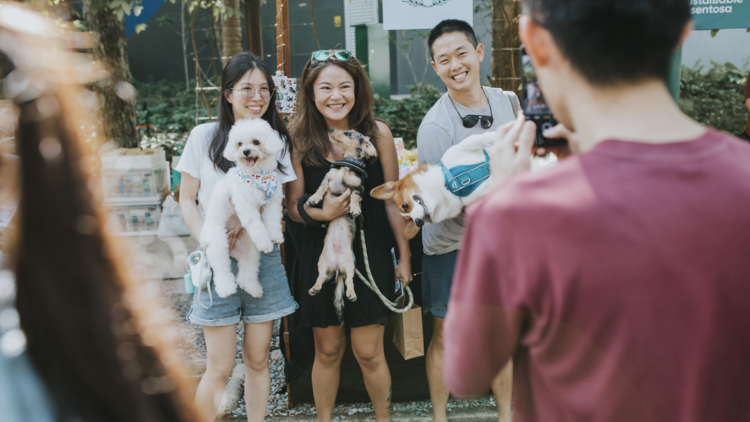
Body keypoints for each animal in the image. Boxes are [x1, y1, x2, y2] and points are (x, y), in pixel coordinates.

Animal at [200, 117, 284, 298]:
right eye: (239, 144)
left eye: (256, 141)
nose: (245, 151)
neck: (260, 175)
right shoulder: (246, 205)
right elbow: (257, 226)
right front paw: (266, 243)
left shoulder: (273, 203)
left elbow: (273, 221)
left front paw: (276, 236)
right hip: (218, 243)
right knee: (221, 269)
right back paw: (226, 289)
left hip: (249, 249)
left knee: (246, 272)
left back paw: (252, 288)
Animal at [306, 127, 376, 322]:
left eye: (350, 133)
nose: (330, 128)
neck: (346, 165)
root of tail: (337, 268)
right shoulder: (327, 180)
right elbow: (321, 189)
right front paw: (313, 199)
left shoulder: (359, 188)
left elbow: (355, 196)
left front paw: (355, 209)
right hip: (322, 263)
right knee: (321, 278)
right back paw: (314, 288)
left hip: (351, 265)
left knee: (349, 281)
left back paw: (351, 294)